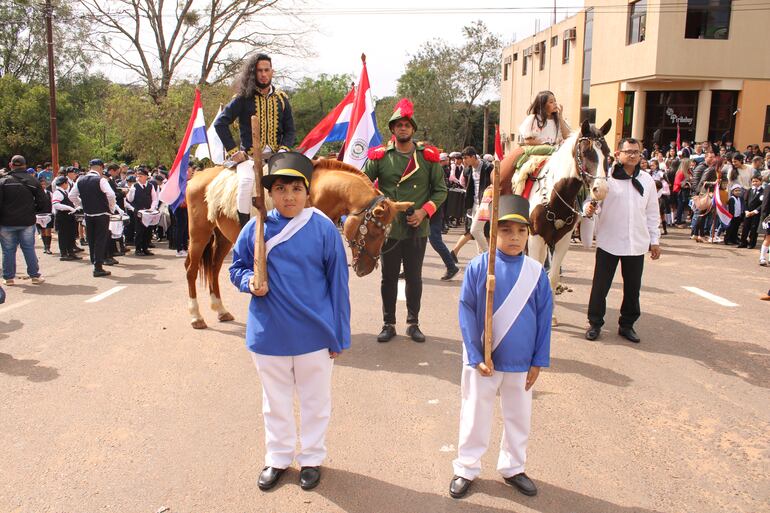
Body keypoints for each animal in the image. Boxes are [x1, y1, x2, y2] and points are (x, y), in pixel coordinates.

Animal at [183, 158, 412, 330]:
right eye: (373, 231)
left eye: (386, 232)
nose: (366, 269)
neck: (315, 193)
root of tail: (198, 177)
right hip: (199, 234)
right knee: (191, 269)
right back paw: (195, 316)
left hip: (223, 237)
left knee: (213, 268)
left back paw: (220, 309)